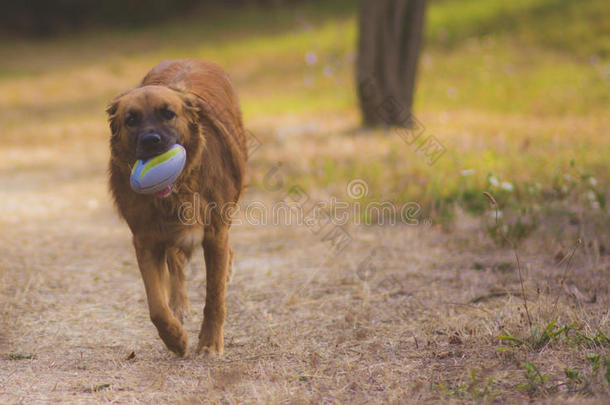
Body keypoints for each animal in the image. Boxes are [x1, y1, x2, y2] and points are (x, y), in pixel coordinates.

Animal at [105, 58, 246, 356]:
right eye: (131, 119)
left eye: (168, 113)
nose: (151, 141)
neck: (178, 190)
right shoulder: (146, 239)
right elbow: (157, 307)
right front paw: (176, 339)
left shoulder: (214, 234)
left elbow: (214, 295)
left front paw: (209, 343)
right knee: (175, 265)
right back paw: (178, 306)